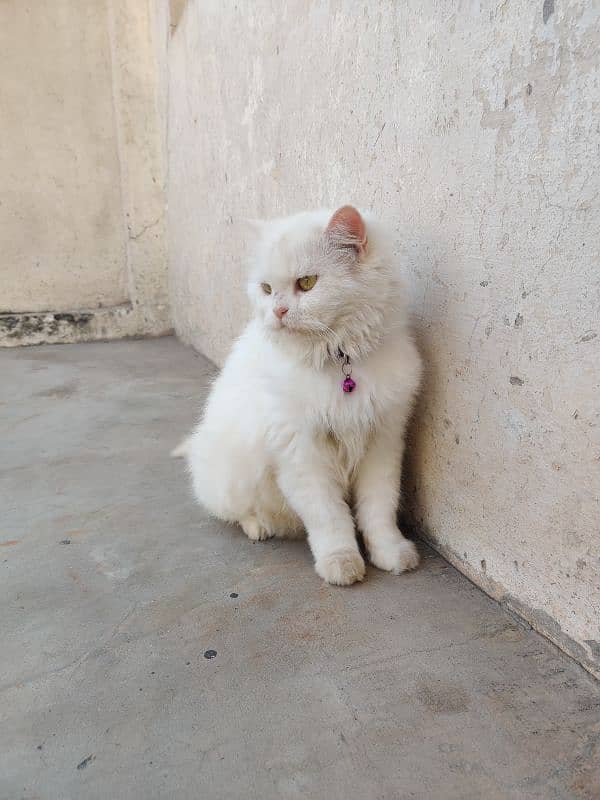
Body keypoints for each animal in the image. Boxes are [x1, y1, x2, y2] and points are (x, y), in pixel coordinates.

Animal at [176, 203, 424, 584]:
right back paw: (259, 527)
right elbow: (329, 518)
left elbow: (379, 510)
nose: (277, 311)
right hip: (232, 475)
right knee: (236, 511)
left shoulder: (383, 442)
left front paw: (391, 554)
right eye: (266, 289)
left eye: (306, 283)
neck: (338, 359)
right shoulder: (302, 453)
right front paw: (341, 563)